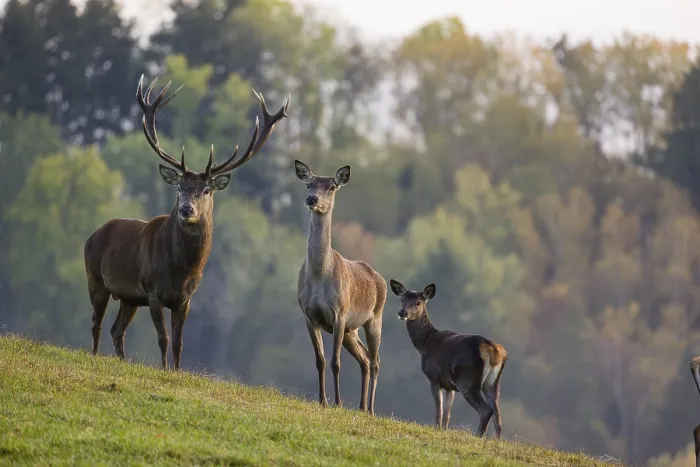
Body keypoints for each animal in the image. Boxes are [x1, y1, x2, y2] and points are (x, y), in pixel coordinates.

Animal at [84, 74, 289, 369]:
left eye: (206, 190)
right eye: (179, 187)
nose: (186, 210)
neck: (181, 270)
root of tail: (93, 234)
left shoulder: (186, 299)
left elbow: (179, 342)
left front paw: (177, 371)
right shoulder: (154, 292)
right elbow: (164, 339)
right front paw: (163, 369)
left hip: (129, 297)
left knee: (116, 329)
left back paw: (121, 360)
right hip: (95, 279)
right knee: (96, 323)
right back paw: (93, 355)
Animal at [294, 160, 387, 415]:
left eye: (332, 186)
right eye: (308, 184)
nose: (312, 199)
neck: (319, 275)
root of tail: (381, 279)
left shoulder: (340, 313)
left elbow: (336, 362)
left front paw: (337, 402)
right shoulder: (309, 316)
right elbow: (321, 360)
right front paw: (322, 400)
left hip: (374, 318)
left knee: (375, 361)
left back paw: (371, 409)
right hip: (351, 331)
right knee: (365, 359)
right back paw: (362, 407)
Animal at [389, 279, 508, 438]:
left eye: (418, 303)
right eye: (402, 300)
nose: (402, 313)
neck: (425, 343)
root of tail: (494, 351)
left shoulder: (434, 377)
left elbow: (439, 410)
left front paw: (436, 428)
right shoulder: (449, 386)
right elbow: (447, 413)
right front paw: (443, 430)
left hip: (468, 381)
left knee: (485, 410)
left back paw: (479, 436)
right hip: (492, 384)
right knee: (497, 414)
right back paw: (495, 440)